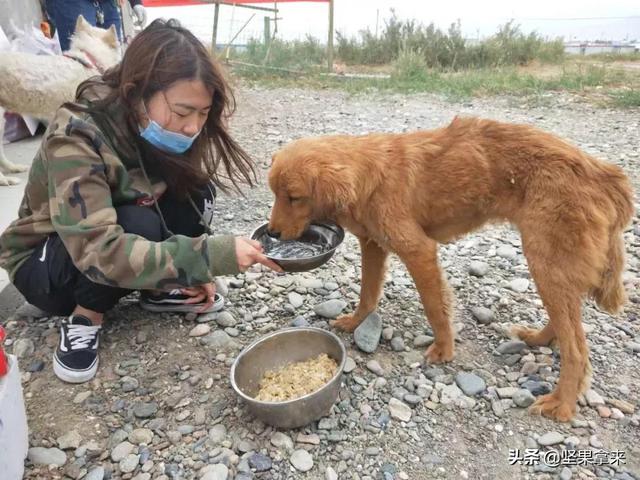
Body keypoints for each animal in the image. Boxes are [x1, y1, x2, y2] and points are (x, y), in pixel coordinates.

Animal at [266, 117, 636, 424]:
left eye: (294, 197)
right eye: (275, 194)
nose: (272, 233)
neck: (369, 176)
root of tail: (605, 174)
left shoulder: (419, 251)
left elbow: (434, 306)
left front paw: (444, 349)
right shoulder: (373, 244)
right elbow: (368, 293)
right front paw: (356, 322)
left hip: (544, 260)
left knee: (577, 350)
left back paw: (562, 404)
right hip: (551, 265)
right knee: (567, 325)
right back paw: (539, 339)